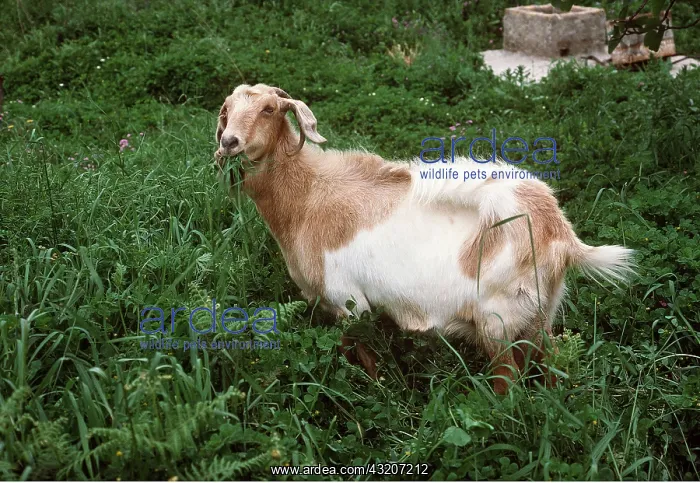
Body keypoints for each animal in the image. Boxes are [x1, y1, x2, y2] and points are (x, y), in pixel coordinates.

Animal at [214, 83, 636, 394]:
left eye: (269, 109)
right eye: (226, 109)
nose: (230, 142)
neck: (308, 197)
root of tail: (559, 234)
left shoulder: (349, 301)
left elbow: (363, 355)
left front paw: (377, 392)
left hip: (497, 319)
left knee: (509, 380)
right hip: (541, 314)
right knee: (550, 365)